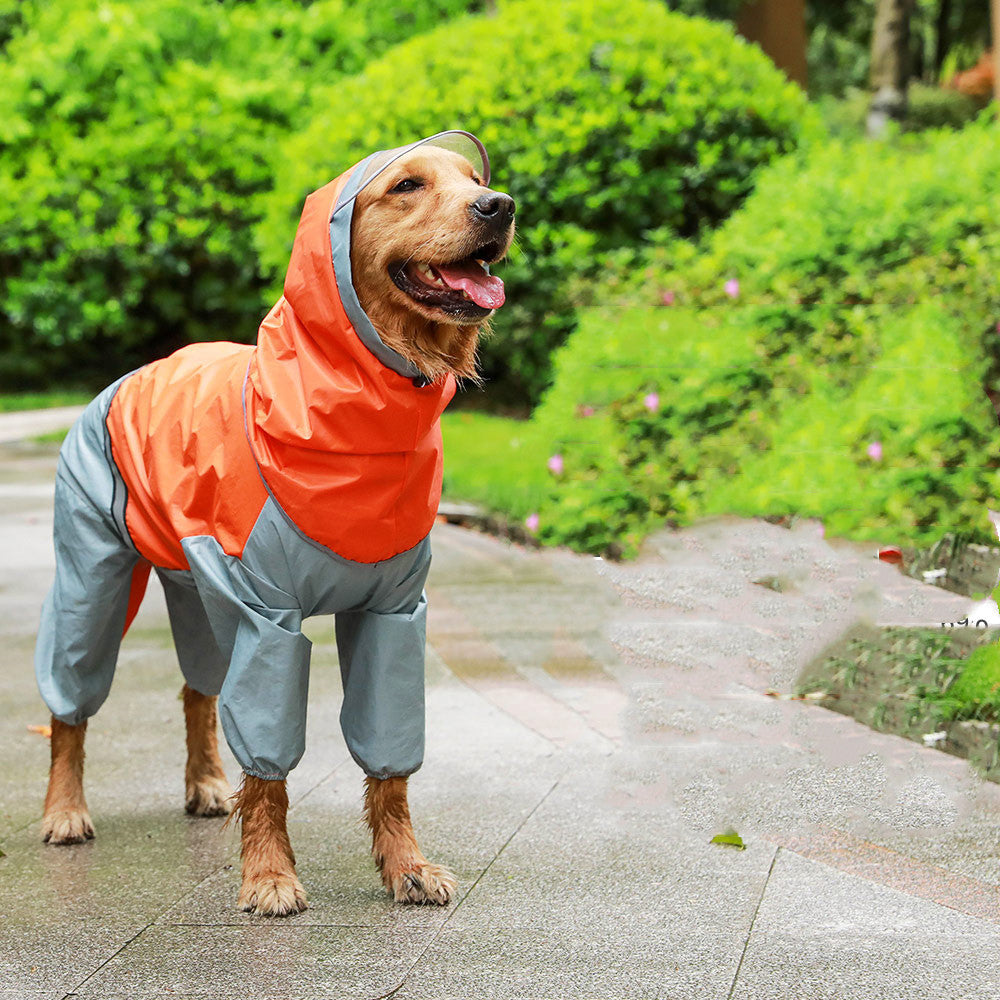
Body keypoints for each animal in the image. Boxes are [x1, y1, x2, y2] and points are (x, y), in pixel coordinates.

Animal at [33, 131, 516, 916]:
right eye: (408, 185)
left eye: (474, 179)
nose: (499, 206)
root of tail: (134, 373)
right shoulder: (267, 618)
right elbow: (268, 767)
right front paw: (268, 875)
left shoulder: (392, 613)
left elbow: (390, 760)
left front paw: (406, 865)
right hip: (93, 576)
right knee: (69, 700)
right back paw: (64, 809)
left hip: (194, 585)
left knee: (198, 689)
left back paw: (204, 783)